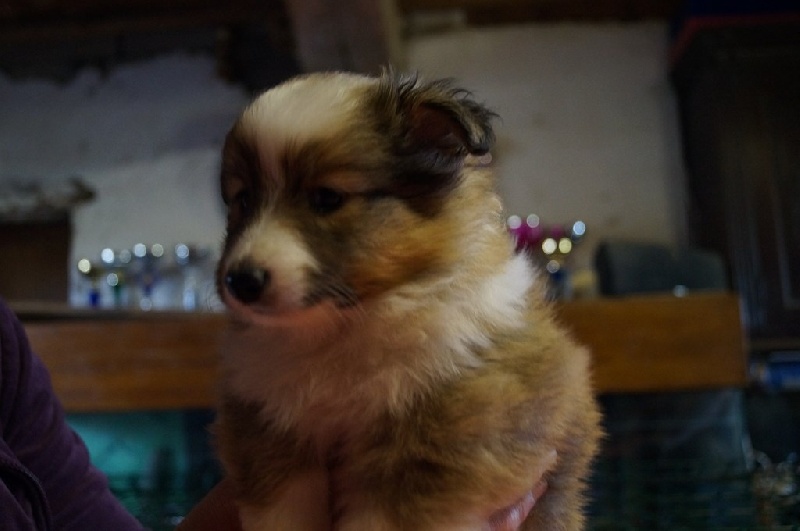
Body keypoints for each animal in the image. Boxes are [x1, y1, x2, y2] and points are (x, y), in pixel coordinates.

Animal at [214, 70, 601, 531]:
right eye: (243, 201)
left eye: (326, 198)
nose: (241, 281)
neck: (343, 325)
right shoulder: (268, 427)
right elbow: (282, 510)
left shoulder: (439, 438)